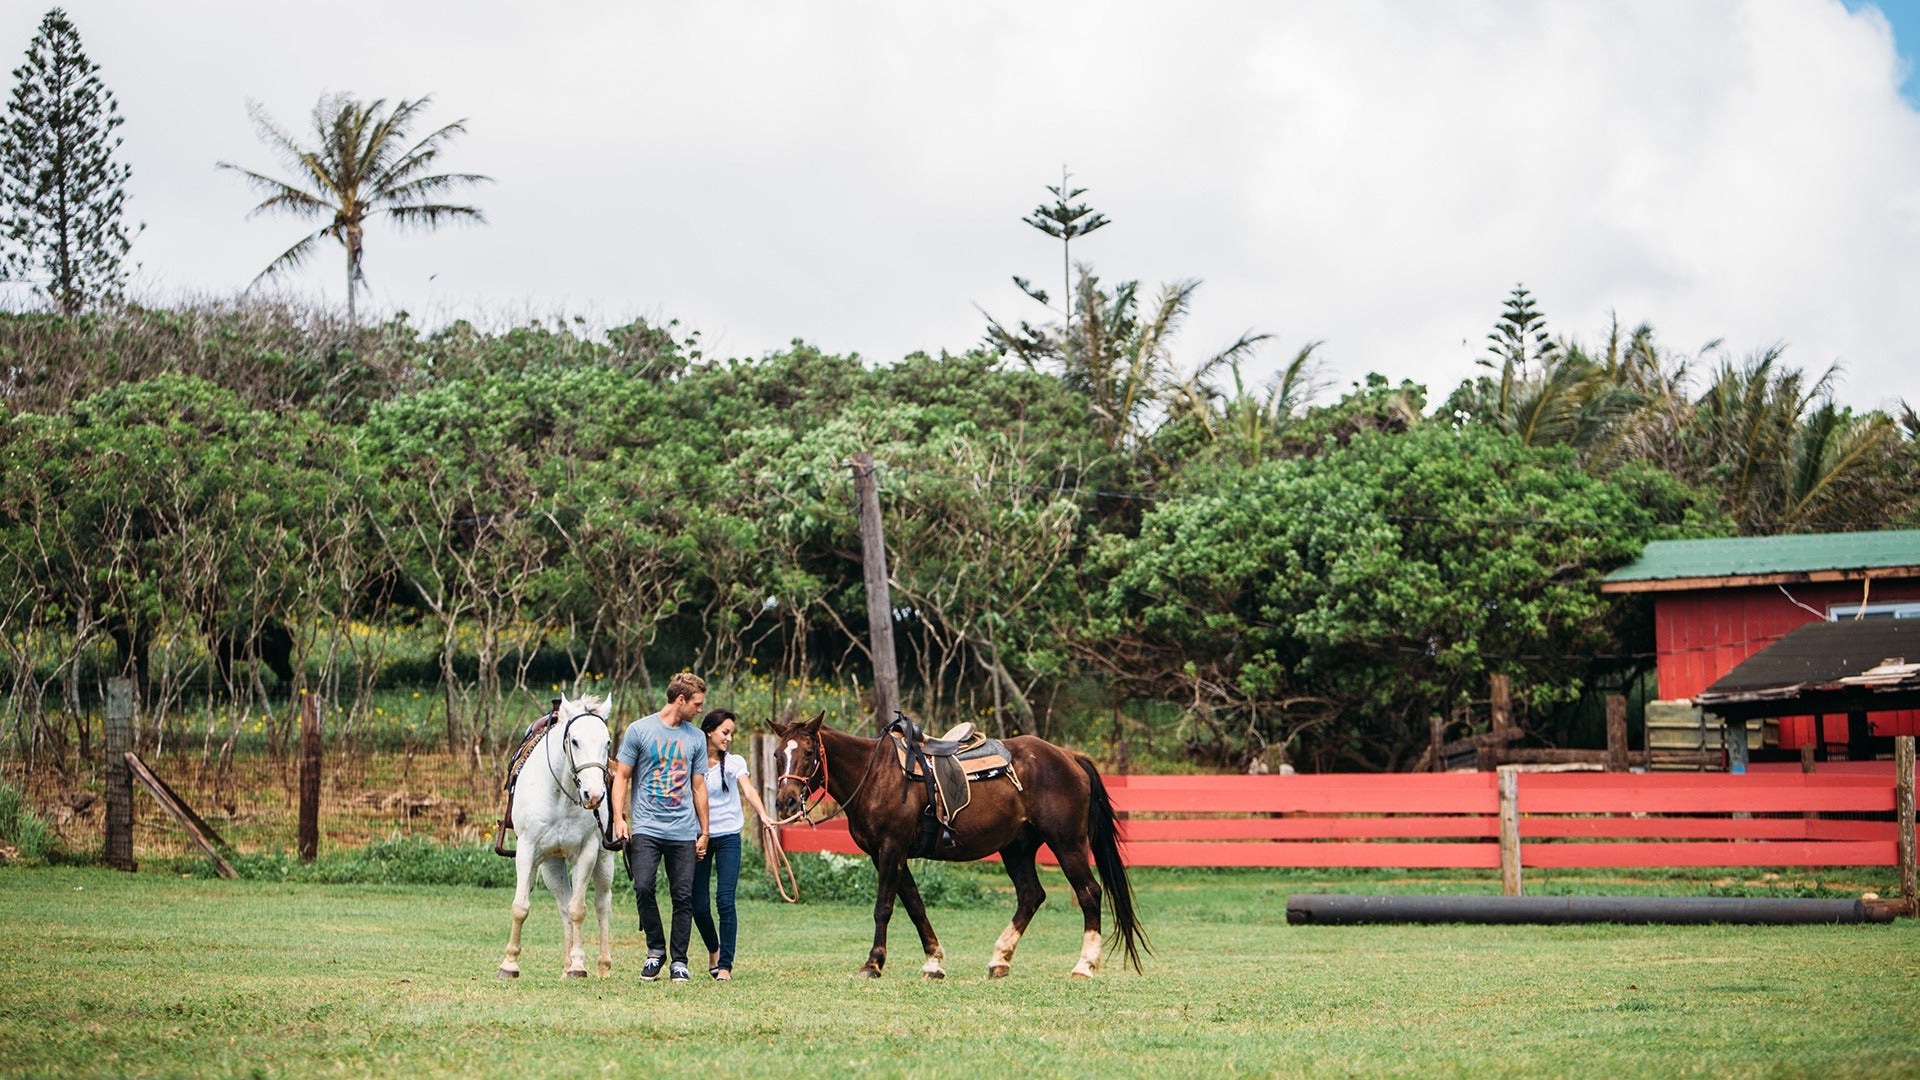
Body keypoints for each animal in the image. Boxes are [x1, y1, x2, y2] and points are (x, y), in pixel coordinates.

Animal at [496, 694, 619, 979]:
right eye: (575, 741)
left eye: (607, 742)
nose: (594, 795)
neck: (561, 796)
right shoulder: (527, 849)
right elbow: (521, 907)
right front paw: (509, 964)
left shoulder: (587, 852)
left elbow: (579, 909)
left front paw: (578, 965)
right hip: (552, 865)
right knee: (563, 904)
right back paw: (565, 965)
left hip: (604, 860)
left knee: (601, 905)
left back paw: (600, 965)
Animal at [769, 714, 1149, 980]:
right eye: (776, 754)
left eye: (807, 753)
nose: (786, 801)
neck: (876, 776)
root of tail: (1070, 757)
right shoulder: (886, 855)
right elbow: (915, 906)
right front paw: (933, 962)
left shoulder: (891, 849)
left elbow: (884, 908)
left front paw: (873, 963)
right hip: (1017, 848)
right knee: (1031, 895)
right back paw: (999, 959)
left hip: (1067, 843)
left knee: (1089, 892)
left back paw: (1084, 965)